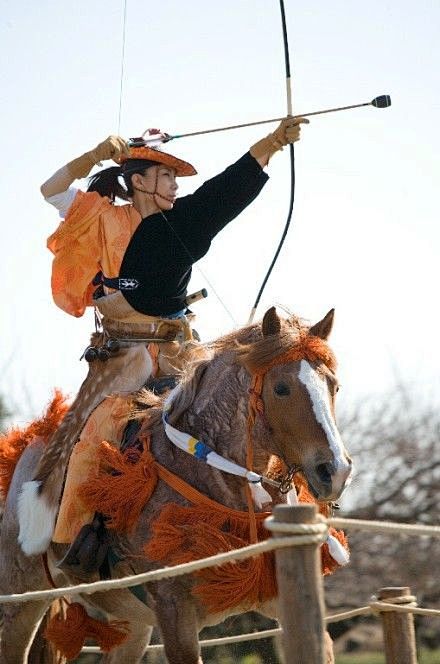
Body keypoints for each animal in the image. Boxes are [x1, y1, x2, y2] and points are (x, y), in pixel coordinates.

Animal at [0, 308, 350, 660]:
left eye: (333, 387)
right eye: (280, 388)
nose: (335, 470)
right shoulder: (173, 605)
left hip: (133, 621)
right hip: (20, 601)